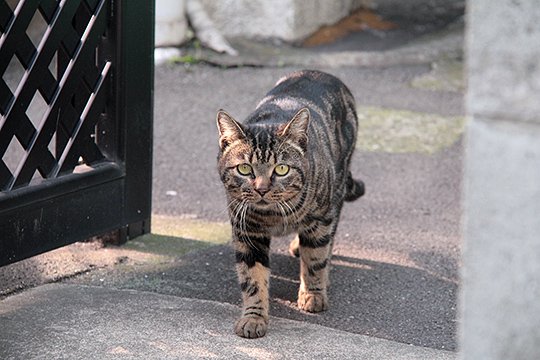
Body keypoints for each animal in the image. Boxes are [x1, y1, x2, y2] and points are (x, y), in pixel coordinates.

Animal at [215, 69, 362, 338]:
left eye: (282, 169)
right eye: (244, 168)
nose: (262, 189)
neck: (274, 215)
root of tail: (321, 72)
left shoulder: (321, 218)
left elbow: (315, 258)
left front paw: (313, 293)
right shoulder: (247, 230)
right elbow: (253, 278)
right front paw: (253, 318)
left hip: (336, 191)